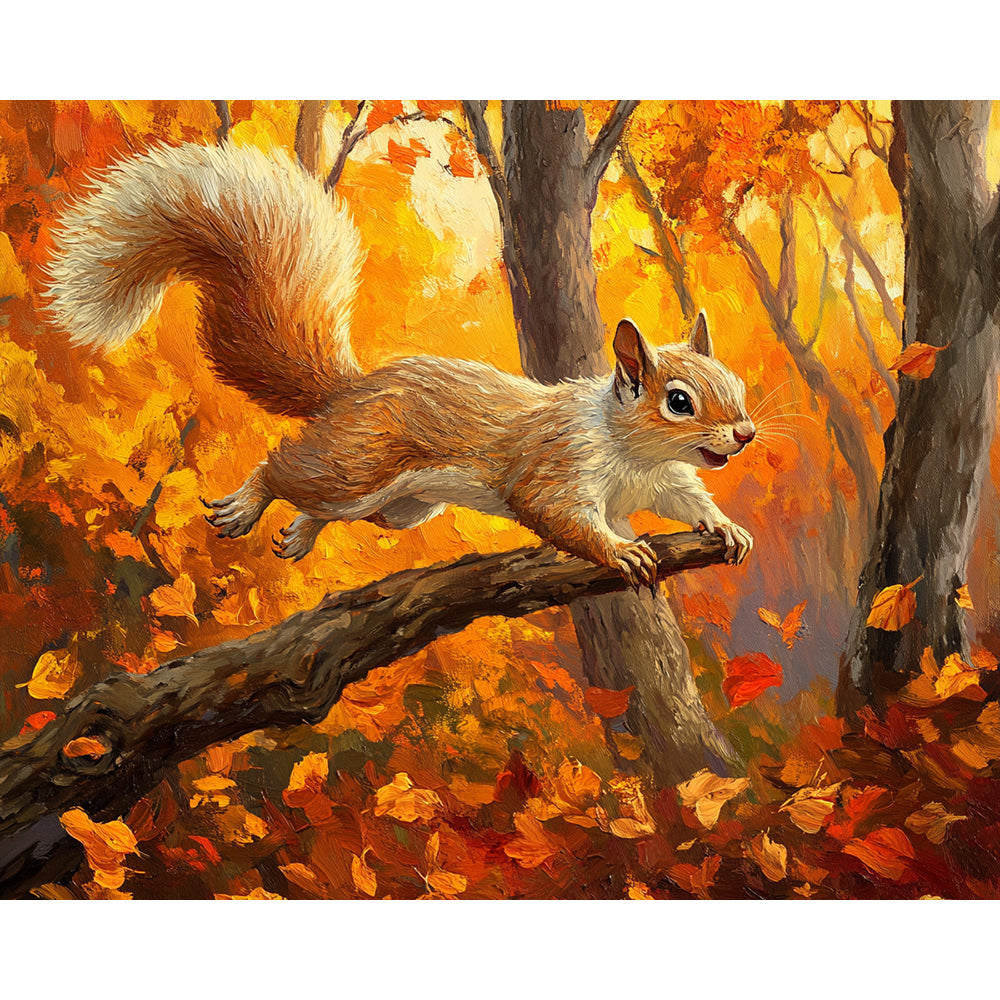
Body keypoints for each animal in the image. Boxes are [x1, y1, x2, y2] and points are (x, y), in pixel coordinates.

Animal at [43, 141, 755, 589]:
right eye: (680, 402)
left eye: (738, 388)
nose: (746, 435)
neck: (632, 451)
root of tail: (352, 390)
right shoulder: (559, 464)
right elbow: (559, 514)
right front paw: (619, 548)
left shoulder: (664, 481)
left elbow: (689, 498)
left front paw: (725, 526)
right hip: (356, 462)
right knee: (285, 468)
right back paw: (248, 504)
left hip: (400, 507)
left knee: (328, 506)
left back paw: (300, 533)